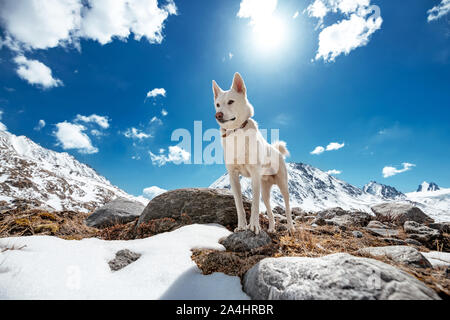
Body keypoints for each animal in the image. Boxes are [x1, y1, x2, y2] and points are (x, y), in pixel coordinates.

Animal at [212, 73, 296, 235]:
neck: (236, 132)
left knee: (288, 207)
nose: (217, 115)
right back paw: (271, 228)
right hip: (265, 191)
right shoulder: (233, 176)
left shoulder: (255, 175)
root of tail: (276, 150)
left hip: (283, 186)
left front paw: (254, 226)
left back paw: (290, 227)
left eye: (231, 101)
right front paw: (241, 226)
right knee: (270, 212)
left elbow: (255, 205)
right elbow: (239, 205)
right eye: (218, 104)